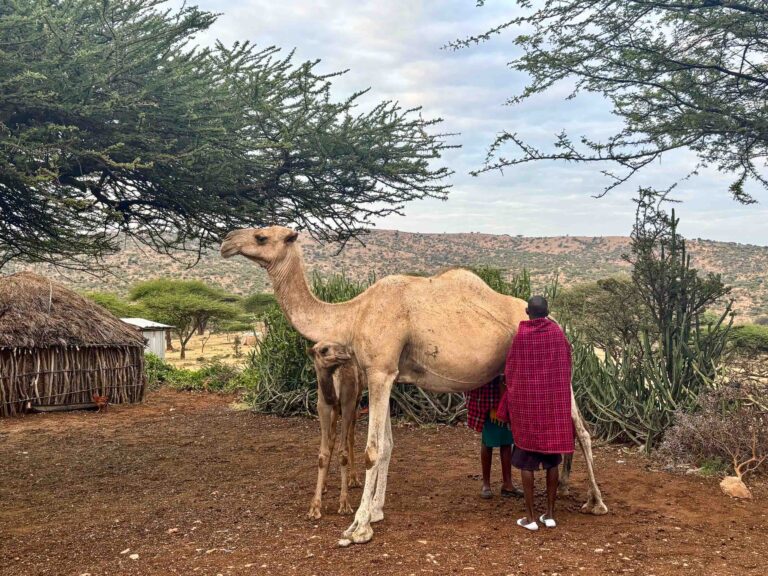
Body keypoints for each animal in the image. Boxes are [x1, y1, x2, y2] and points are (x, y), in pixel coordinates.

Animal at [306, 340, 366, 520]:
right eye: (323, 350)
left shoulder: (348, 404)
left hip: (357, 400)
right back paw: (324, 485)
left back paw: (354, 479)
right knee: (332, 438)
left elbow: (343, 452)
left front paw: (344, 504)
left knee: (351, 437)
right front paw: (314, 508)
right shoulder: (323, 406)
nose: (344, 355)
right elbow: (323, 453)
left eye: (339, 346)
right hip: (335, 409)